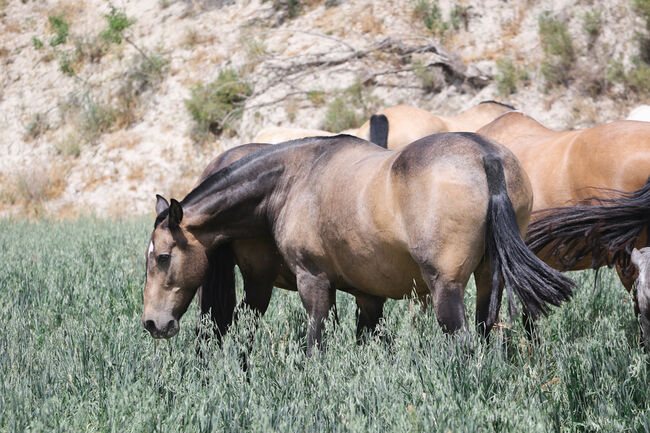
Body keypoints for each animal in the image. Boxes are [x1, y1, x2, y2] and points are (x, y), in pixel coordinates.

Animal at [139, 132, 568, 352]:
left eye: (162, 258)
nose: (152, 323)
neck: (292, 178)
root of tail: (485, 155)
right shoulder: (368, 295)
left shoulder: (313, 282)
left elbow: (314, 342)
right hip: (491, 281)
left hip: (445, 288)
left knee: (462, 342)